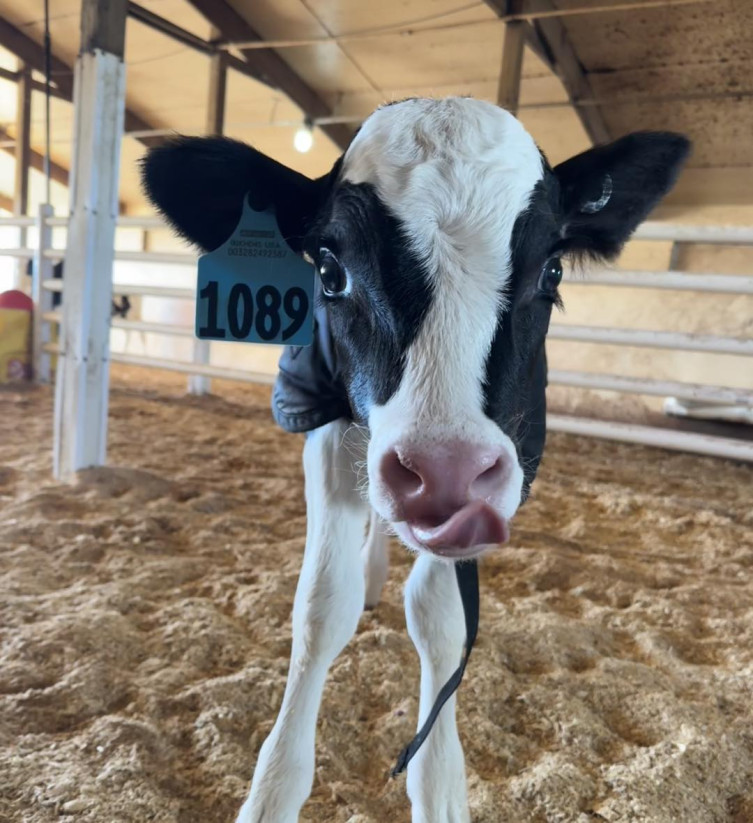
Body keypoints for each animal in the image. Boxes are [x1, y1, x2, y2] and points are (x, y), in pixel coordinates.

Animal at [141, 97, 689, 823]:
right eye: (329, 270)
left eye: (550, 272)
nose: (445, 470)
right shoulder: (325, 421)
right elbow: (322, 605)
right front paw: (273, 789)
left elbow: (440, 615)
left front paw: (440, 783)